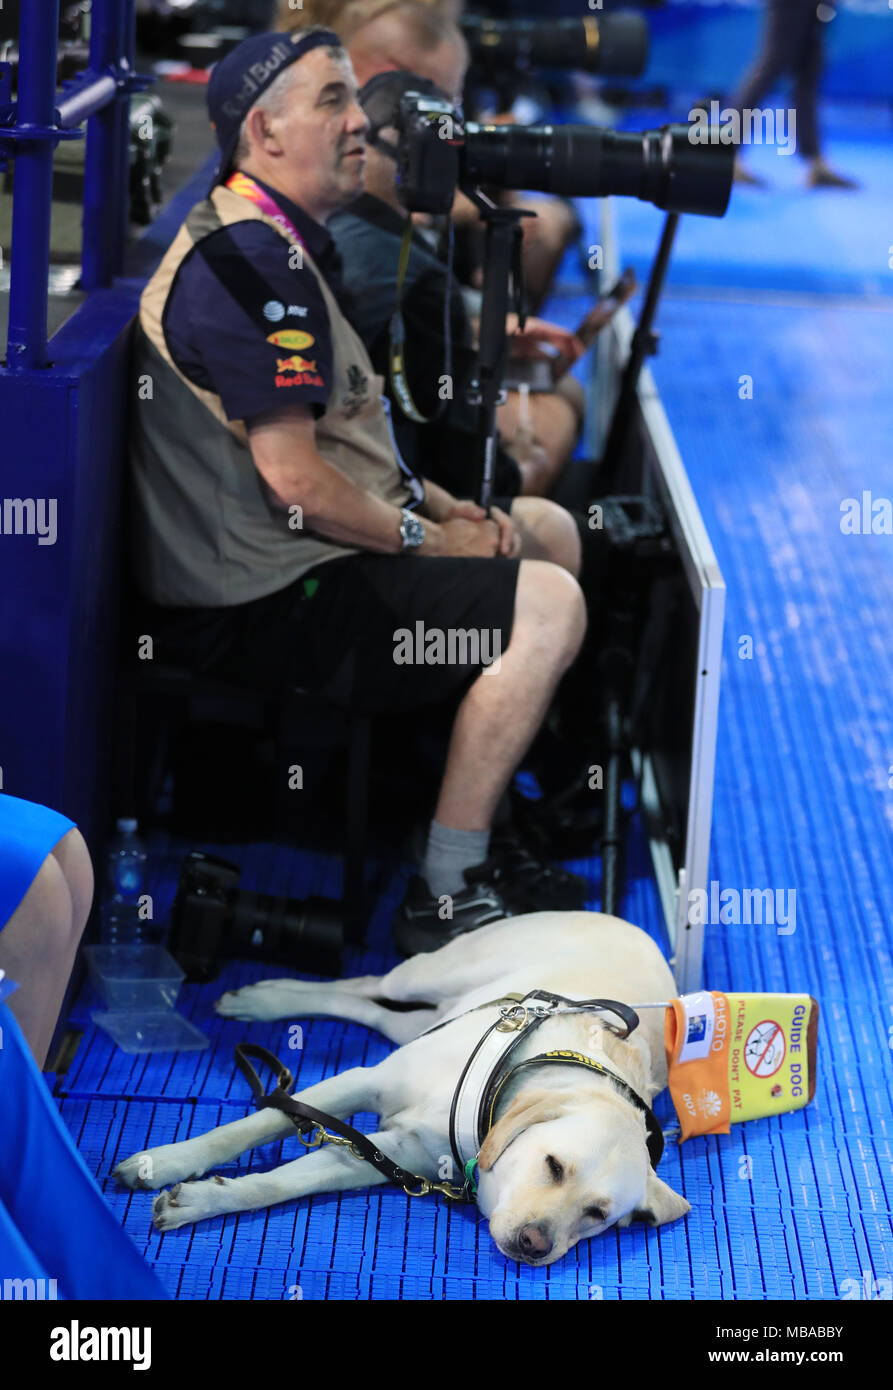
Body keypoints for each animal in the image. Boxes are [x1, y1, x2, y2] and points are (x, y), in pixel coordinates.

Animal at [112, 906, 689, 1267]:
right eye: (553, 1165)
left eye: (597, 1215)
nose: (535, 1244)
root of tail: (628, 923)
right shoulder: (360, 1082)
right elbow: (252, 1125)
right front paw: (164, 1162)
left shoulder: (386, 1156)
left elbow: (282, 1183)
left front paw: (201, 1202)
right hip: (429, 974)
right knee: (368, 983)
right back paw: (267, 998)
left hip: (424, 1014)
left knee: (374, 1010)